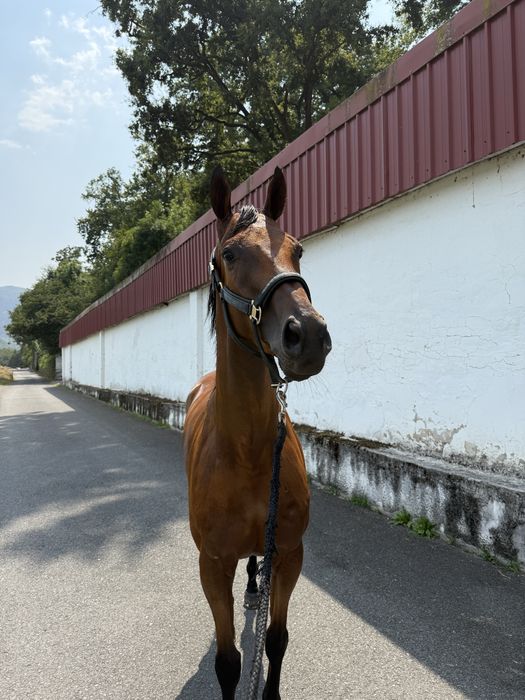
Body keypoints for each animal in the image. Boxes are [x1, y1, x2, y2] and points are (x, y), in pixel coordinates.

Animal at [184, 165, 331, 699]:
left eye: (298, 249)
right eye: (229, 254)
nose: (308, 334)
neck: (246, 450)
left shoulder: (289, 552)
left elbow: (276, 639)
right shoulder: (211, 564)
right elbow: (229, 662)